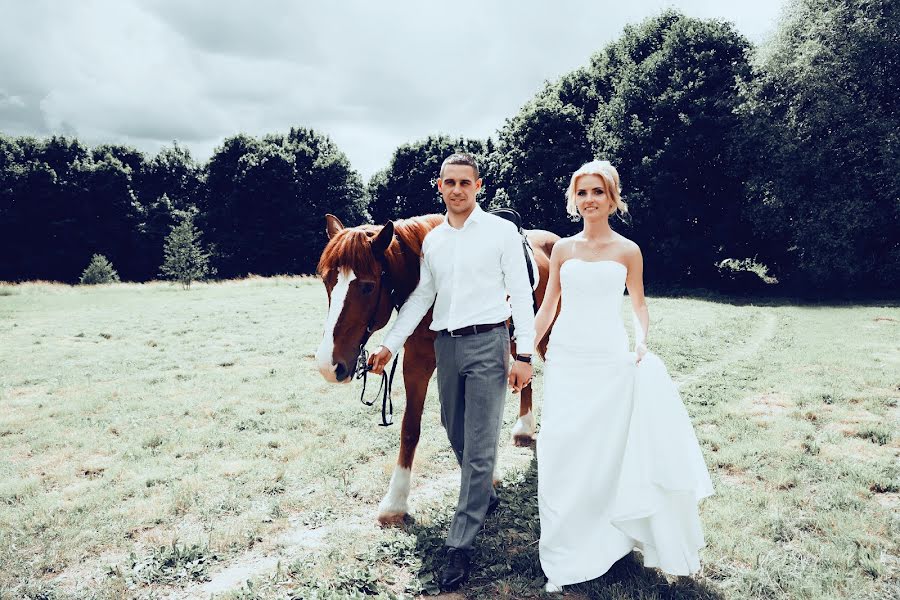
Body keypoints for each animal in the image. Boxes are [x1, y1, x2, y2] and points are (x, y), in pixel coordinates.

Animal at [314, 213, 556, 524]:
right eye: (326, 281)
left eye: (367, 286)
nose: (328, 365)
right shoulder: (416, 361)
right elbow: (410, 428)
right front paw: (396, 502)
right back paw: (524, 429)